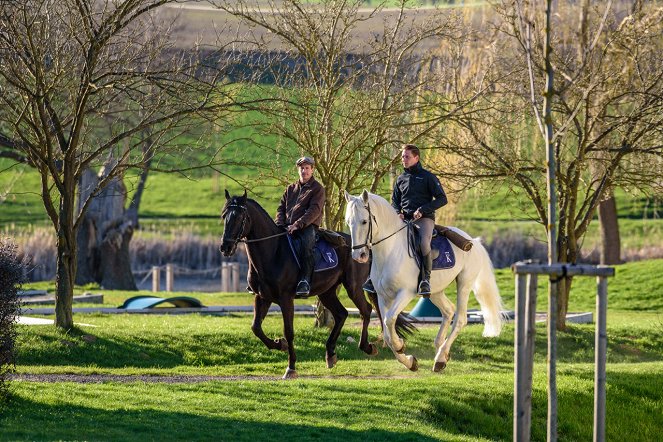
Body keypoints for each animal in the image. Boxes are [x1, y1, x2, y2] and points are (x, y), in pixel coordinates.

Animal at [219, 191, 416, 380]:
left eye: (240, 217)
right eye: (224, 216)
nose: (225, 247)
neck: (274, 252)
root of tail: (362, 247)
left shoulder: (285, 299)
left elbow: (288, 331)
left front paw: (291, 367)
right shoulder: (262, 297)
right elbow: (256, 328)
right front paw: (279, 344)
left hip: (353, 286)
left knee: (365, 310)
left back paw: (367, 347)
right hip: (327, 292)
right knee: (341, 314)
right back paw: (330, 353)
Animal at [344, 188, 506, 372]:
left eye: (364, 221)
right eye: (348, 222)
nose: (359, 255)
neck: (391, 251)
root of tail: (474, 242)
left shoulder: (405, 293)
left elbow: (390, 320)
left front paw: (400, 345)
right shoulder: (383, 296)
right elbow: (387, 331)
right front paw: (409, 360)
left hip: (464, 284)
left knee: (460, 319)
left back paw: (441, 357)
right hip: (435, 291)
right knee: (448, 311)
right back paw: (441, 350)